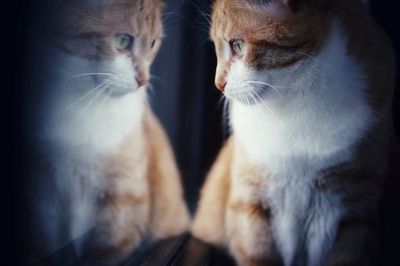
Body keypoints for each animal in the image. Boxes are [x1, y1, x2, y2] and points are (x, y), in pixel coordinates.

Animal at [27, 0, 190, 262]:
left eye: (153, 43)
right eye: (123, 40)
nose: (144, 80)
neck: (85, 102)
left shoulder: (123, 200)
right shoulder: (44, 194)